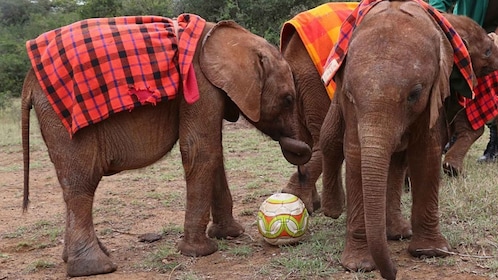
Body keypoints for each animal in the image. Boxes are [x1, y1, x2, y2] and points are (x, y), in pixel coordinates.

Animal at [20, 15, 312, 278]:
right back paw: (95, 268)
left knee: (71, 184)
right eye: (288, 99)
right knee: (82, 183)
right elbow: (200, 150)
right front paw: (201, 252)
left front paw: (230, 235)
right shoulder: (199, 84)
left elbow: (214, 151)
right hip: (65, 118)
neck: (229, 38)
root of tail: (28, 81)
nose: (302, 156)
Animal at [318, 1, 480, 278]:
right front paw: (358, 266)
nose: (393, 272)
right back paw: (333, 209)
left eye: (415, 94)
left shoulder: (436, 93)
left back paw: (397, 233)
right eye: (350, 93)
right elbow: (355, 153)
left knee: (395, 162)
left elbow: (426, 152)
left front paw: (431, 252)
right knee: (330, 138)